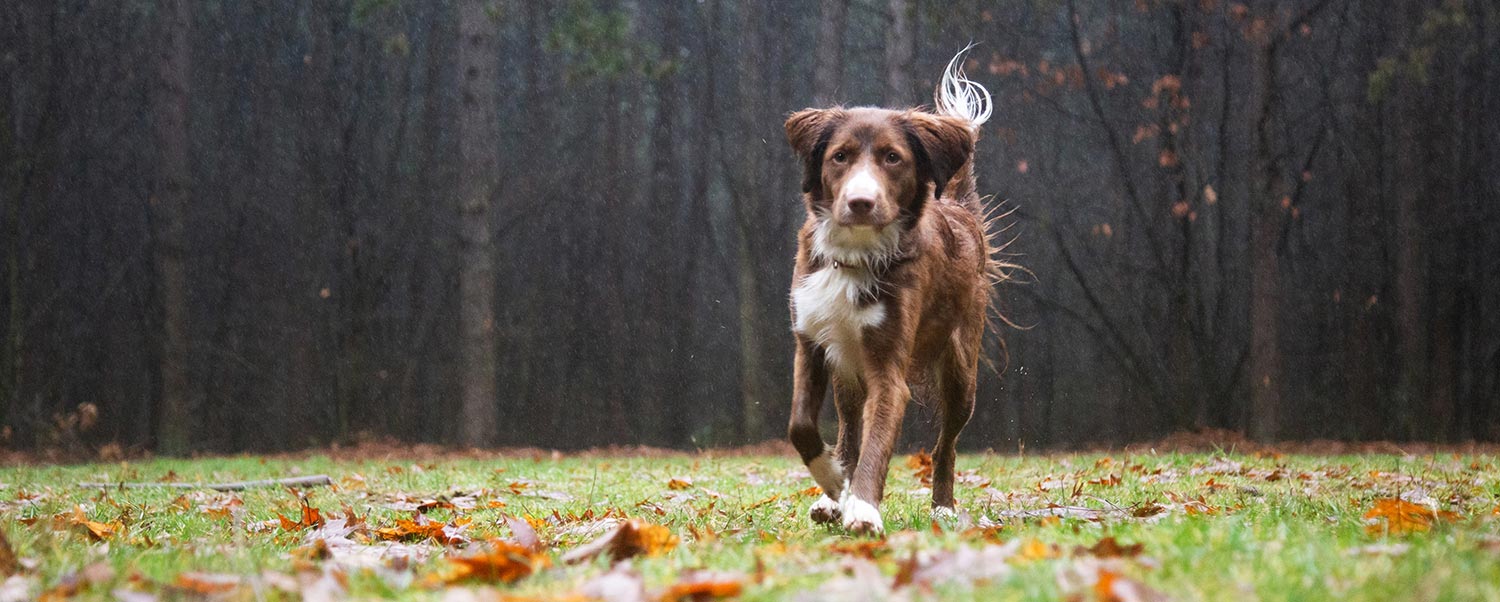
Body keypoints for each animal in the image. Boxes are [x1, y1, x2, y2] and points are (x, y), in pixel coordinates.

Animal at [780, 49, 1002, 531]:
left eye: (893, 158)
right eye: (840, 157)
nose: (860, 202)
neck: (854, 256)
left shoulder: (889, 369)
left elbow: (879, 441)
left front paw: (862, 507)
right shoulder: (810, 343)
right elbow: (801, 426)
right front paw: (833, 482)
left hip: (962, 374)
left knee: (945, 446)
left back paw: (943, 507)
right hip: (846, 372)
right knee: (848, 429)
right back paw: (833, 495)